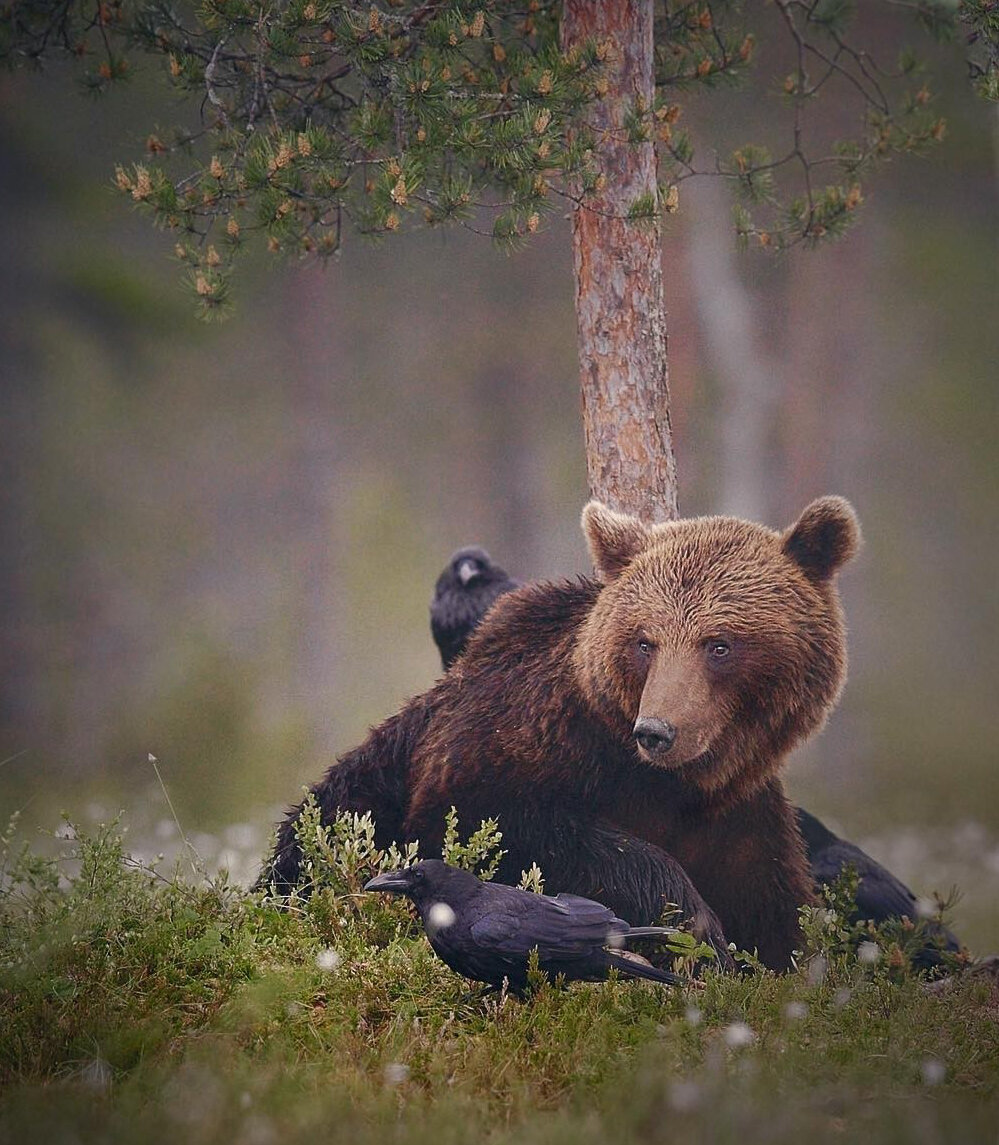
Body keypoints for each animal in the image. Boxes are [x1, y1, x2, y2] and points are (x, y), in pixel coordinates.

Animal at [260, 496, 856, 970]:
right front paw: (697, 930)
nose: (658, 731)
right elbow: (505, 829)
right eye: (645, 641)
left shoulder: (739, 820)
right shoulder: (514, 741)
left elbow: (776, 914)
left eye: (720, 644)